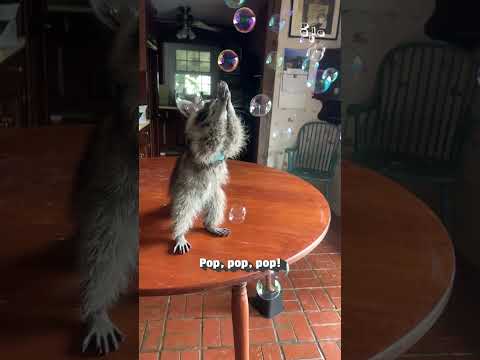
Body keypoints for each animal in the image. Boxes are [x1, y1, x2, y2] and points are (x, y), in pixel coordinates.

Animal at [170, 82, 248, 256]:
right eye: (206, 105)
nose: (215, 100)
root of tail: (201, 202)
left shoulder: (227, 146)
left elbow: (234, 138)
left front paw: (228, 106)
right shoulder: (200, 144)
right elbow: (213, 139)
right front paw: (222, 111)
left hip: (213, 193)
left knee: (217, 203)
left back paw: (210, 225)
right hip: (187, 194)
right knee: (182, 212)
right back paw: (179, 234)